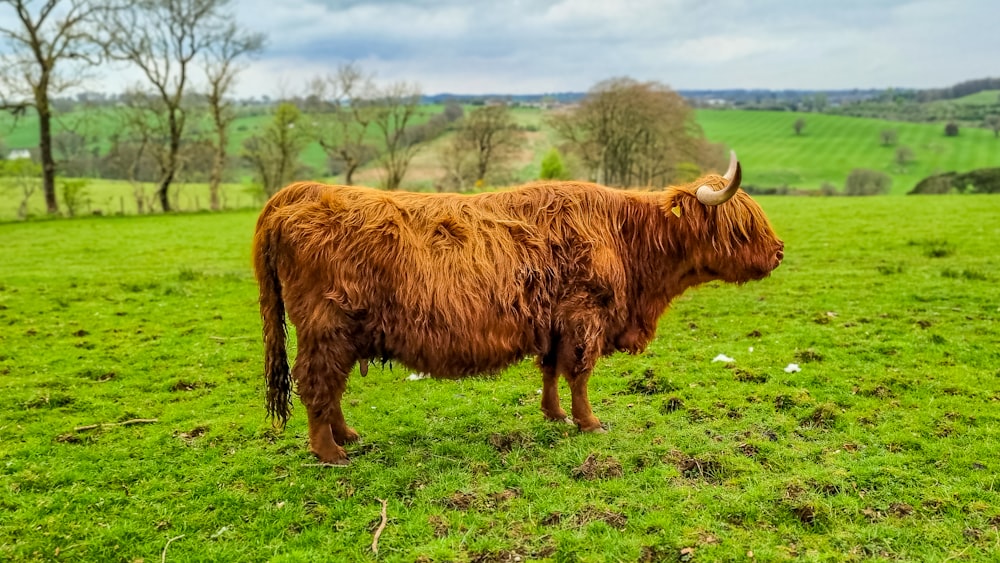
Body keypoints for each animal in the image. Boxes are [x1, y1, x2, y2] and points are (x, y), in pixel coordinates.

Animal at [252, 152, 780, 464]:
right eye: (742, 226)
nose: (778, 252)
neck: (629, 240)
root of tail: (299, 193)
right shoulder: (585, 317)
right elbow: (579, 374)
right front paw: (590, 423)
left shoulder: (554, 322)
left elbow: (550, 370)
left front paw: (554, 415)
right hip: (326, 327)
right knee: (317, 383)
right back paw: (330, 452)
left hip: (340, 333)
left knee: (331, 387)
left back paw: (348, 436)